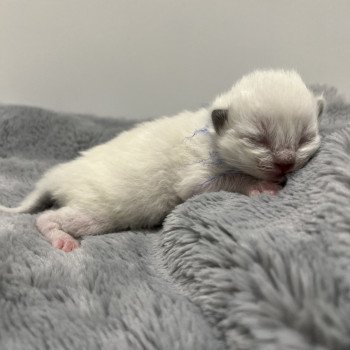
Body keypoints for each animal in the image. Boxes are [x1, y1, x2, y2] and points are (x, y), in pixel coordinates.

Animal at [0, 69, 324, 253]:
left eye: (305, 138)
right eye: (258, 139)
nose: (285, 162)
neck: (209, 133)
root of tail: (56, 175)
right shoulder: (193, 178)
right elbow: (230, 179)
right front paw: (262, 186)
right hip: (95, 211)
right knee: (45, 218)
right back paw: (61, 239)